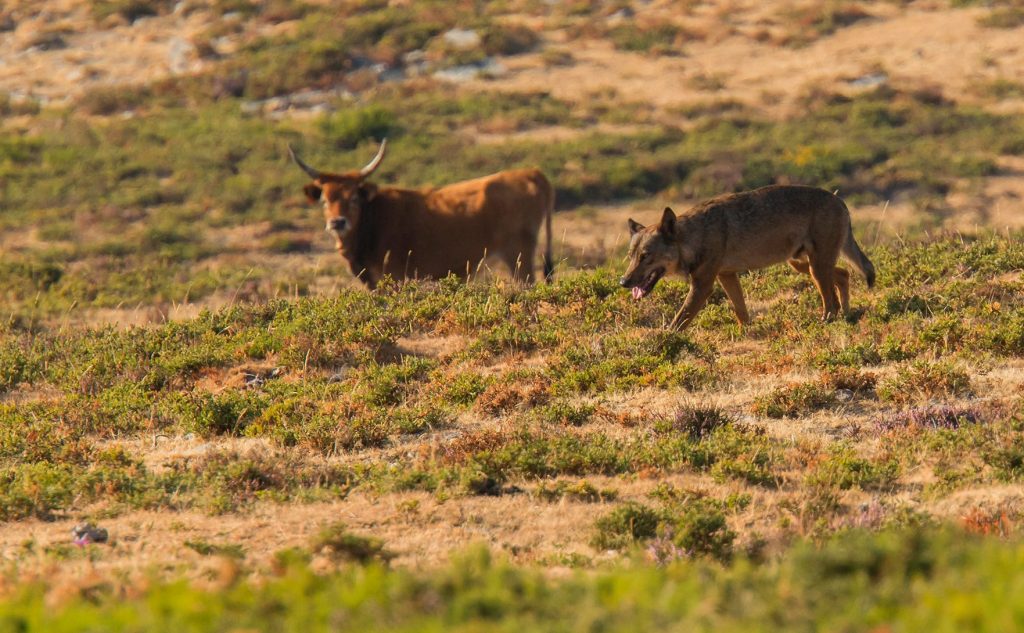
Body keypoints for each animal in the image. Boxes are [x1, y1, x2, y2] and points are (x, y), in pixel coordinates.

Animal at [619, 185, 876, 330]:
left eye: (646, 256)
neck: (695, 236)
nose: (623, 282)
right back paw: (847, 314)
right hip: (802, 264)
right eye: (631, 256)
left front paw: (661, 343)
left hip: (815, 268)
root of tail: (840, 200)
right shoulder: (726, 276)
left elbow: (677, 323)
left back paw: (828, 322)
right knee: (843, 275)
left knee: (830, 299)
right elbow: (741, 311)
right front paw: (748, 333)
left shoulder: (703, 286)